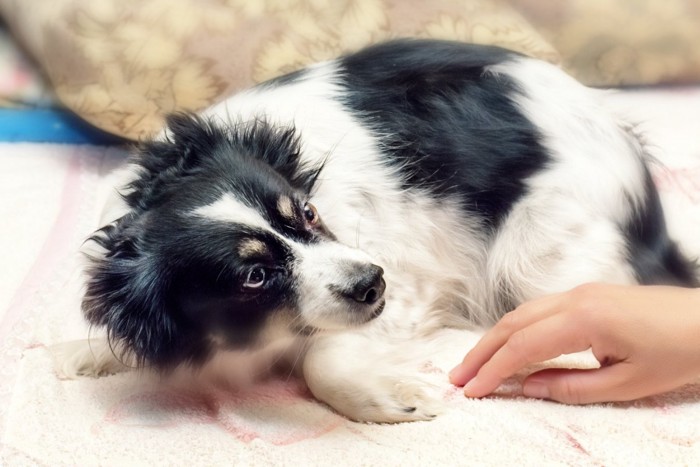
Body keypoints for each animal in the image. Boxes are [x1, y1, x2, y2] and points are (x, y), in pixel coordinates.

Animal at [60, 40, 696, 424]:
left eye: (307, 213)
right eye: (254, 277)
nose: (372, 282)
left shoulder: (406, 286)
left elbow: (323, 363)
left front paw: (392, 398)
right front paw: (89, 352)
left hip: (540, 257)